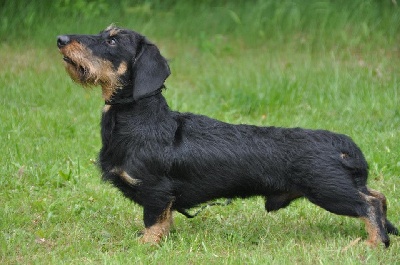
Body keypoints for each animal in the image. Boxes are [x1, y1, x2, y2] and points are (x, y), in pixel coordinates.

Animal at [57, 25, 398, 246]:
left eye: (113, 42)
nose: (60, 39)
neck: (140, 118)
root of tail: (343, 144)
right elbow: (165, 221)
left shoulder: (155, 191)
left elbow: (153, 221)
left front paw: (145, 245)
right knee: (378, 196)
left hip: (328, 189)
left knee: (368, 204)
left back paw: (372, 243)